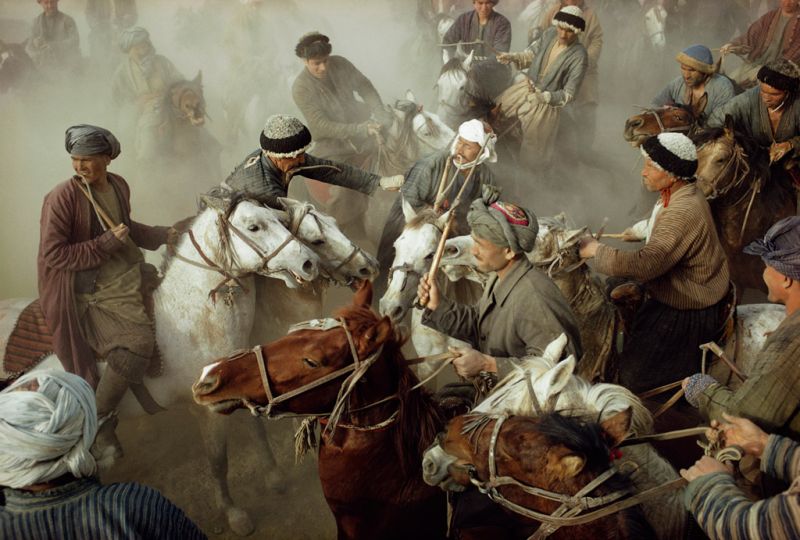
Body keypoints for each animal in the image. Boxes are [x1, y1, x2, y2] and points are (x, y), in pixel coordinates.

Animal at [3, 195, 322, 536]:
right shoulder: (206, 412)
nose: (309, 263)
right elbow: (218, 463)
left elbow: (258, 430)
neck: (194, 319)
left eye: (278, 217)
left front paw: (274, 477)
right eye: (253, 226)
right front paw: (234, 514)